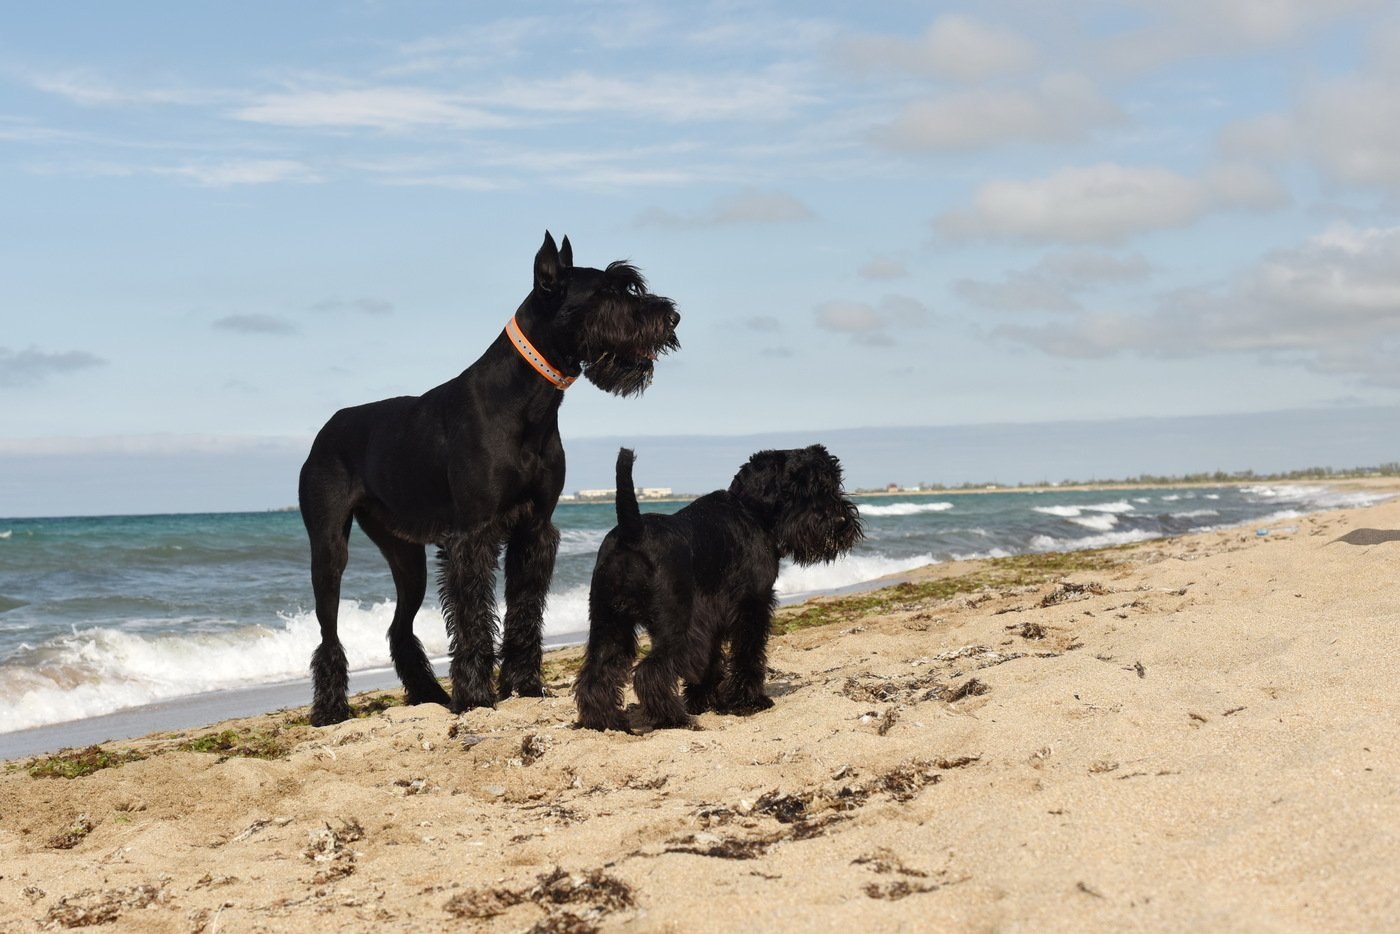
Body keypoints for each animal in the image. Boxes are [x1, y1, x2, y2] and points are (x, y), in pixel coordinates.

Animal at [298, 229, 680, 728]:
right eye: (606, 292)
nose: (672, 317)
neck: (525, 400)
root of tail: (328, 427)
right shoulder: (472, 536)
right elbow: (474, 616)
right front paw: (477, 695)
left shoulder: (534, 530)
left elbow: (524, 608)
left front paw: (524, 684)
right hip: (329, 551)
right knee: (329, 630)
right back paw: (330, 709)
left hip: (406, 556)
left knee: (399, 627)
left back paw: (428, 694)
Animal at [574, 442, 856, 733]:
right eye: (798, 486)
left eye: (833, 482)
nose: (839, 520)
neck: (750, 510)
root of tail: (633, 532)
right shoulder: (753, 604)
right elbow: (748, 653)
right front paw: (748, 702)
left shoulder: (710, 617)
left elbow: (710, 658)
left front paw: (703, 700)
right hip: (671, 623)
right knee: (649, 671)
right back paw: (674, 719)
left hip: (609, 623)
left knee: (597, 673)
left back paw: (605, 721)